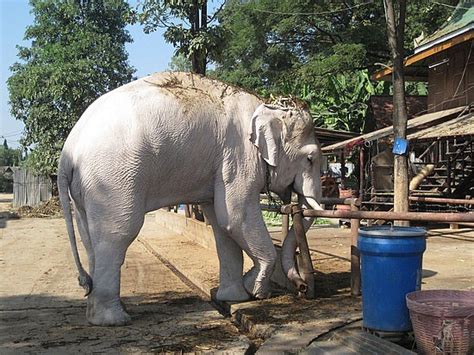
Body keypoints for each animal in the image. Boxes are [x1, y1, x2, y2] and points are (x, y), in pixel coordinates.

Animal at [57, 71, 320, 326]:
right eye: (311, 159)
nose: (302, 287)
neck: (266, 104)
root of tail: (68, 152)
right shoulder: (239, 157)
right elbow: (236, 218)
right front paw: (255, 291)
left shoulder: (222, 165)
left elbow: (221, 227)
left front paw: (234, 298)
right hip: (113, 178)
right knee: (117, 234)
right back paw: (114, 320)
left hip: (86, 189)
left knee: (89, 237)